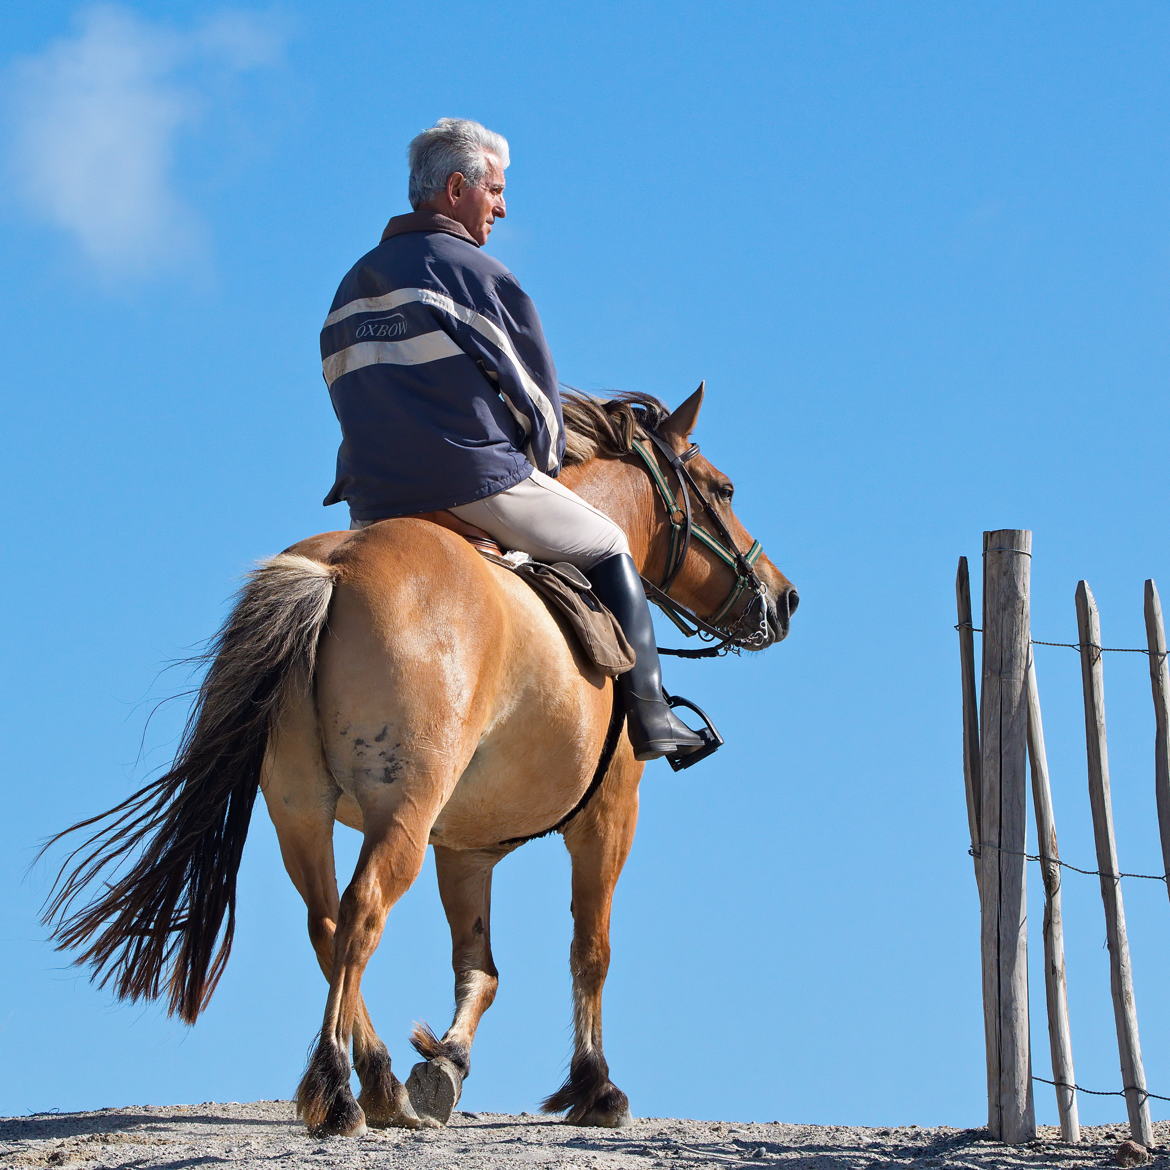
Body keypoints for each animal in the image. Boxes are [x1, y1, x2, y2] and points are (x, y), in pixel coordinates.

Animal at [41, 383, 800, 1132]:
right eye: (723, 488)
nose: (785, 597)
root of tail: (334, 568)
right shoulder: (608, 817)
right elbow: (590, 951)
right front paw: (594, 1087)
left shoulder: (463, 848)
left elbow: (479, 966)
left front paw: (446, 1063)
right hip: (402, 809)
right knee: (362, 913)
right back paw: (339, 1088)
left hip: (300, 812)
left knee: (327, 924)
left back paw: (381, 1079)